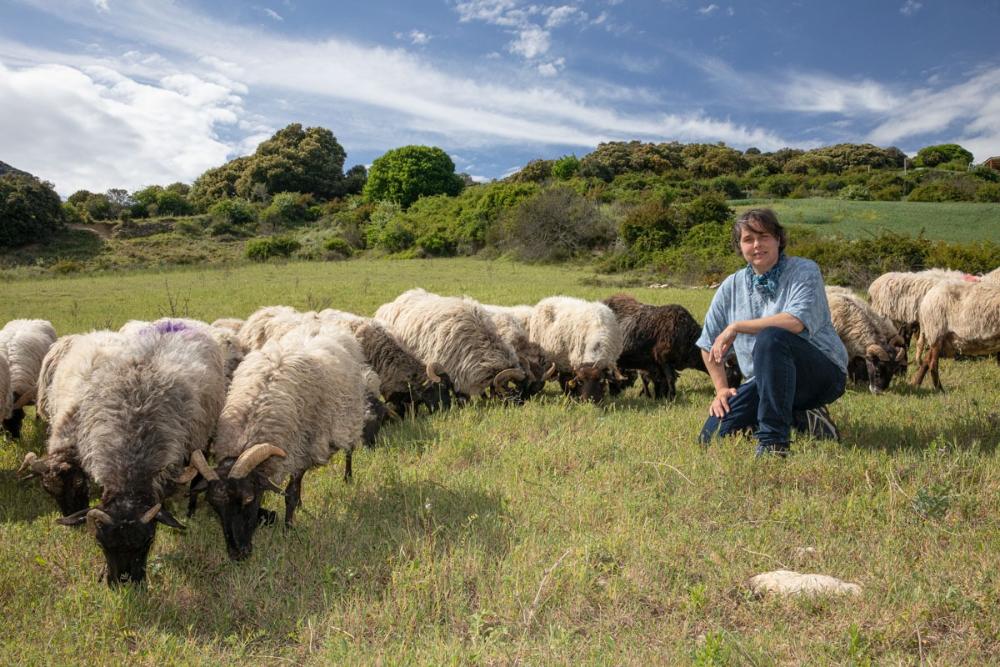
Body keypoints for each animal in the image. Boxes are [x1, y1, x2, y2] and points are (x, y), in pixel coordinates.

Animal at [188, 328, 372, 564]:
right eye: (214, 506)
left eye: (249, 498)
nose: (237, 554)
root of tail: (329, 330)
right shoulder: (295, 451)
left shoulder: (302, 448)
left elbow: (290, 494)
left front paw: (288, 529)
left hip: (349, 415)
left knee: (349, 449)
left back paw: (348, 477)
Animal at [596, 294, 740, 400]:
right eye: (733, 374)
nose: (735, 395)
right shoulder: (664, 359)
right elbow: (670, 379)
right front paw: (671, 397)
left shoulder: (658, 364)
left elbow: (662, 380)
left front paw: (661, 396)